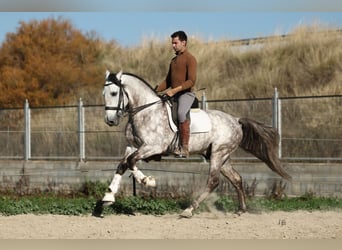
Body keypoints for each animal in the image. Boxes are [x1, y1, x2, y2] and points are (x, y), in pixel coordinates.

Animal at [100, 70, 290, 217]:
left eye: (114, 93)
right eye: (104, 94)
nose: (110, 121)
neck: (146, 110)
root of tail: (236, 120)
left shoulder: (153, 147)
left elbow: (131, 161)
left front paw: (148, 181)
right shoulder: (133, 146)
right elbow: (123, 164)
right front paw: (108, 197)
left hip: (218, 154)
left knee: (213, 181)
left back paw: (189, 210)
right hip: (221, 156)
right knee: (236, 178)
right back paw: (241, 210)